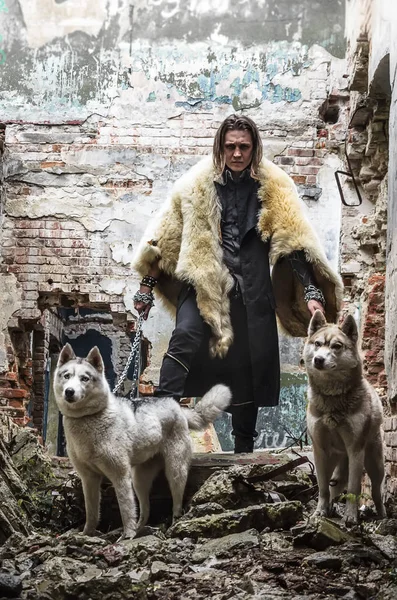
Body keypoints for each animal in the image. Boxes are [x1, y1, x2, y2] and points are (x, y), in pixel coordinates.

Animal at [54, 342, 230, 540]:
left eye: (84, 378)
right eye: (67, 376)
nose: (69, 392)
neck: (87, 418)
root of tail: (177, 406)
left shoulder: (120, 476)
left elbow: (126, 509)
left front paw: (127, 535)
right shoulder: (88, 479)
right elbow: (91, 512)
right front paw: (86, 534)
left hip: (175, 472)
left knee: (175, 503)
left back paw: (170, 524)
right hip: (139, 480)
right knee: (145, 511)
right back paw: (139, 530)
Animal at [304, 312, 384, 524]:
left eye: (337, 346)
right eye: (317, 343)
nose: (318, 359)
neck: (332, 399)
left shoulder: (355, 449)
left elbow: (354, 489)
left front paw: (351, 516)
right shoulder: (320, 450)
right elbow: (323, 488)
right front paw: (319, 512)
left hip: (374, 466)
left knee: (376, 492)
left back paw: (382, 515)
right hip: (337, 466)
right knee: (333, 488)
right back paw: (330, 509)